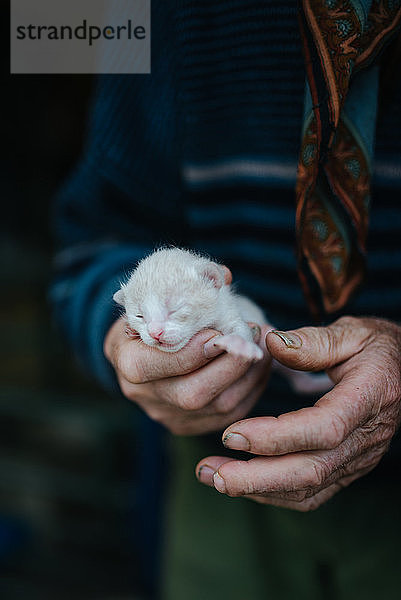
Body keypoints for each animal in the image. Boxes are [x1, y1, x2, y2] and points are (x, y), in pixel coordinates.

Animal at [113, 246, 332, 396]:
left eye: (175, 308)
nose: (155, 333)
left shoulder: (229, 312)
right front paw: (131, 330)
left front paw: (239, 343)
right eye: (140, 316)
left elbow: (240, 329)